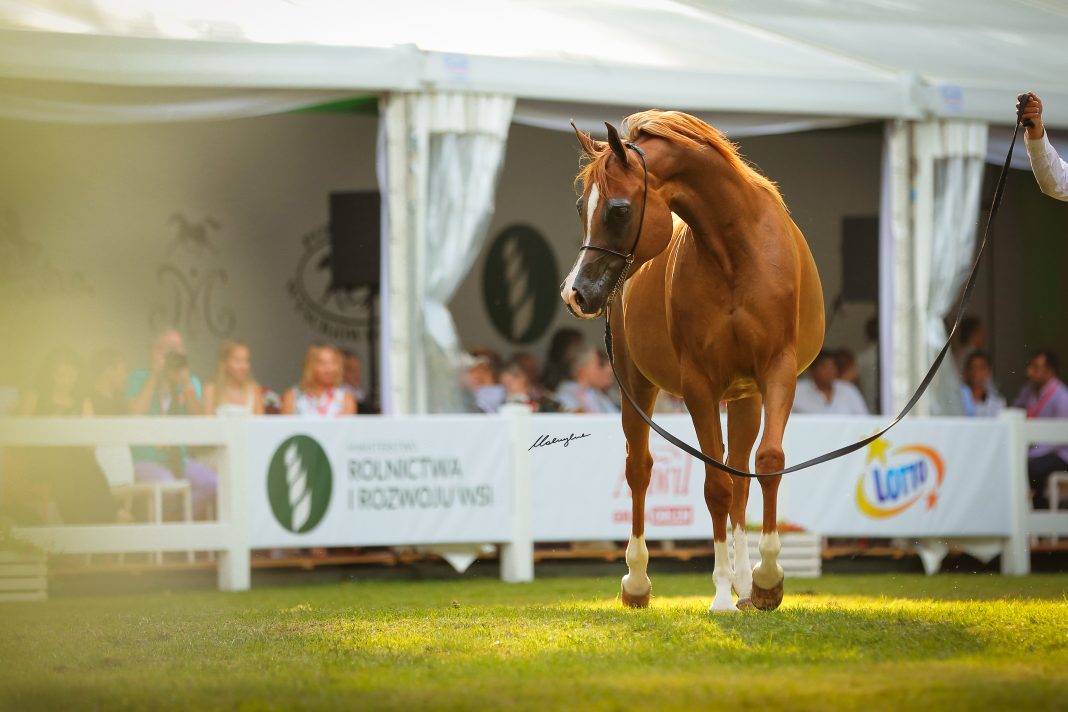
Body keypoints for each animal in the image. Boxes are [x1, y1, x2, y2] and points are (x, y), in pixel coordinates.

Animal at [563, 112, 820, 614]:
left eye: (618, 210)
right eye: (583, 207)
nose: (575, 293)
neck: (737, 253)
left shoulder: (775, 372)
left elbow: (767, 462)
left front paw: (765, 580)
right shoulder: (700, 386)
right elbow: (715, 484)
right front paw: (721, 593)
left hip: (745, 397)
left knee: (742, 476)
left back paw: (745, 584)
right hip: (637, 386)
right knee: (640, 470)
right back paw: (638, 581)